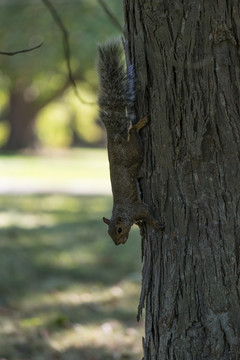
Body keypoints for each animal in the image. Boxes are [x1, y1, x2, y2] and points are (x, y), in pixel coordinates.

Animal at [96, 40, 164, 246]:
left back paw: (140, 123)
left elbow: (148, 213)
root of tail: (114, 140)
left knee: (132, 131)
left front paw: (155, 224)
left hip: (134, 150)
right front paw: (142, 227)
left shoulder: (137, 208)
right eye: (109, 233)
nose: (119, 243)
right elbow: (142, 221)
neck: (124, 213)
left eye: (118, 229)